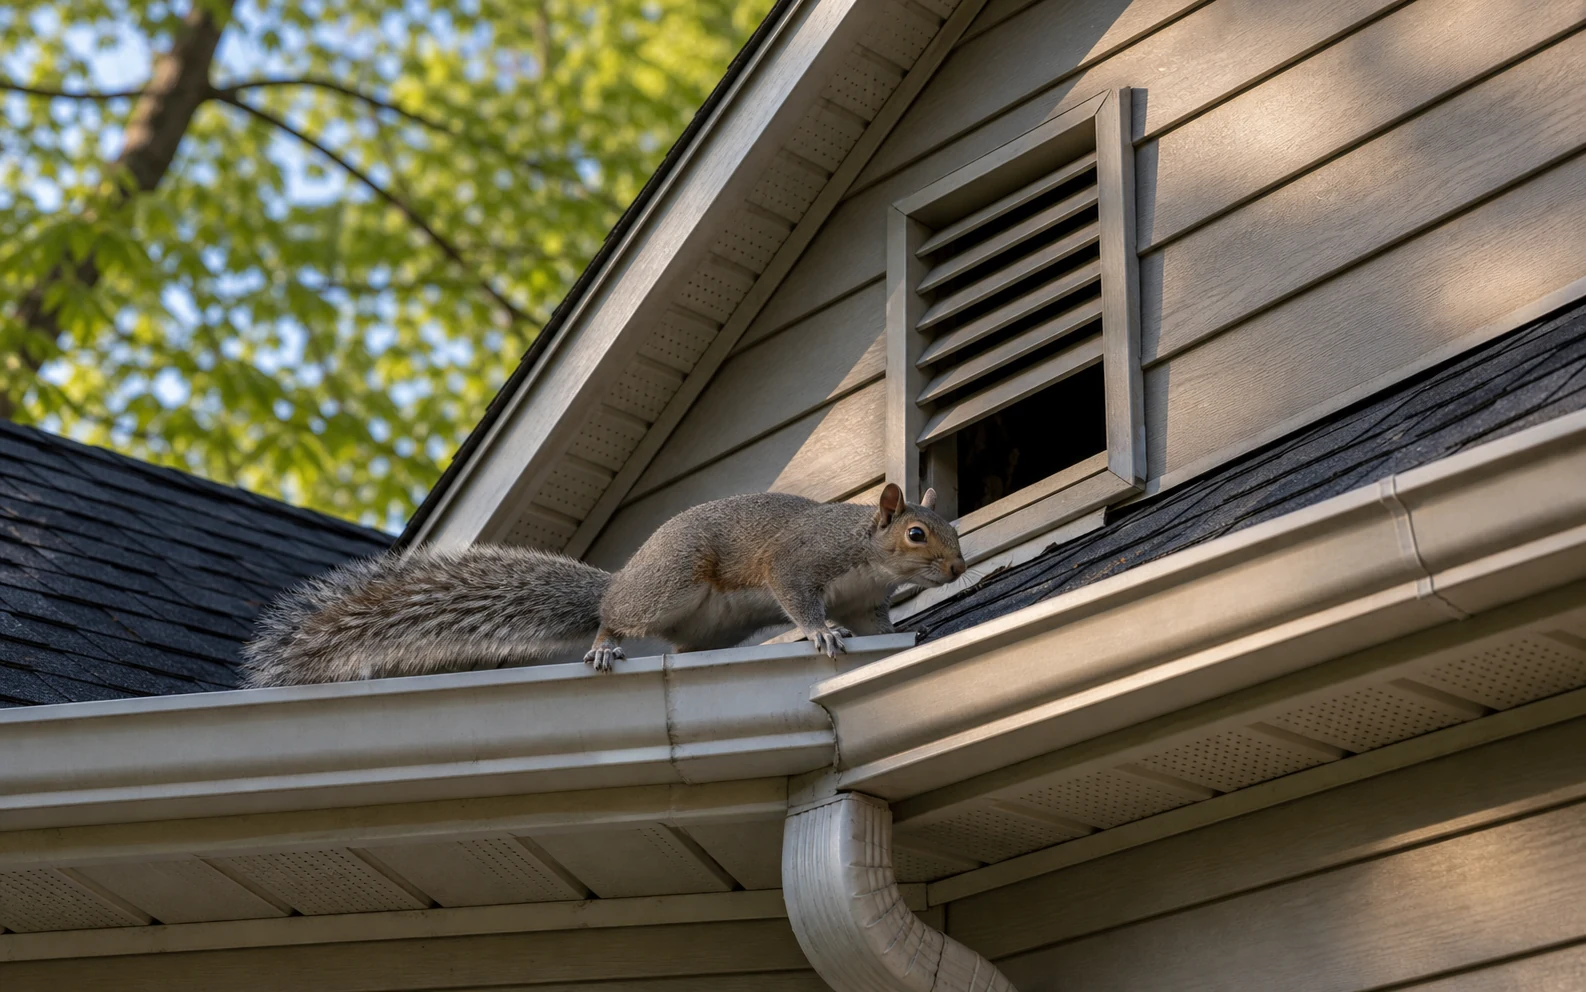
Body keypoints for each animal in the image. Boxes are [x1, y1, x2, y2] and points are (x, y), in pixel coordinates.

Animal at [241, 483, 965, 687]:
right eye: (916, 535)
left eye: (953, 528)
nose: (957, 570)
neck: (866, 556)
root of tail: (619, 579)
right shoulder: (800, 563)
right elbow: (800, 598)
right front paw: (819, 633)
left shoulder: (867, 603)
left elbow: (878, 626)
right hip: (669, 585)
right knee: (617, 615)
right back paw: (604, 644)